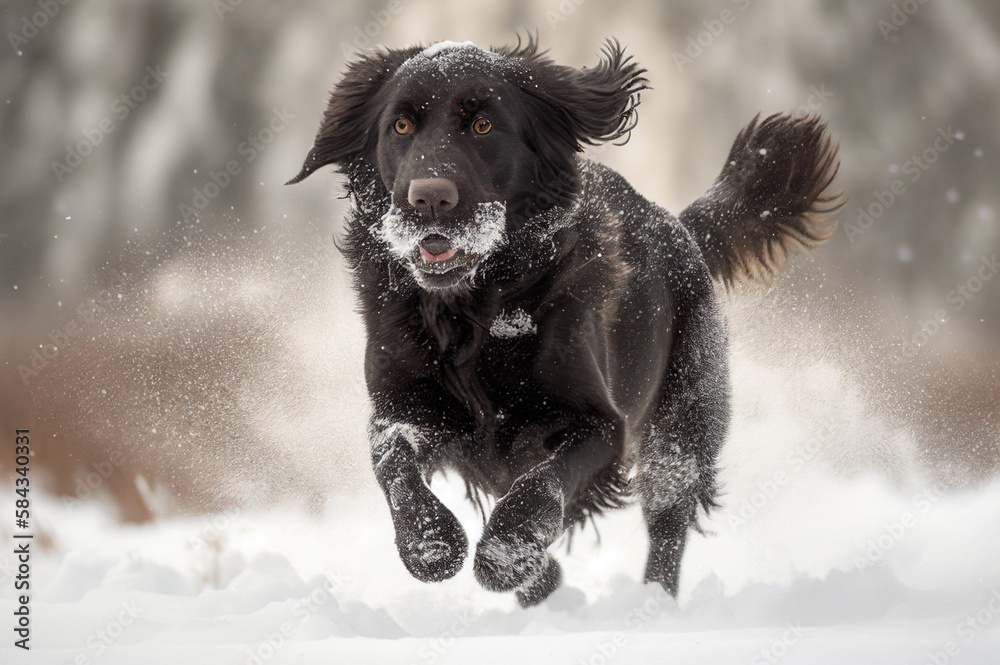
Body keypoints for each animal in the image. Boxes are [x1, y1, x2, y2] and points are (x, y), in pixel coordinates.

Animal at [290, 39, 844, 604]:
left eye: (483, 125)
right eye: (400, 126)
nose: (428, 197)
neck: (476, 310)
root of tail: (679, 228)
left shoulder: (602, 425)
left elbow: (543, 482)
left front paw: (504, 554)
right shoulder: (399, 406)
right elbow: (393, 459)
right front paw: (432, 544)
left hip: (683, 421)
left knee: (668, 521)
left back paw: (648, 603)